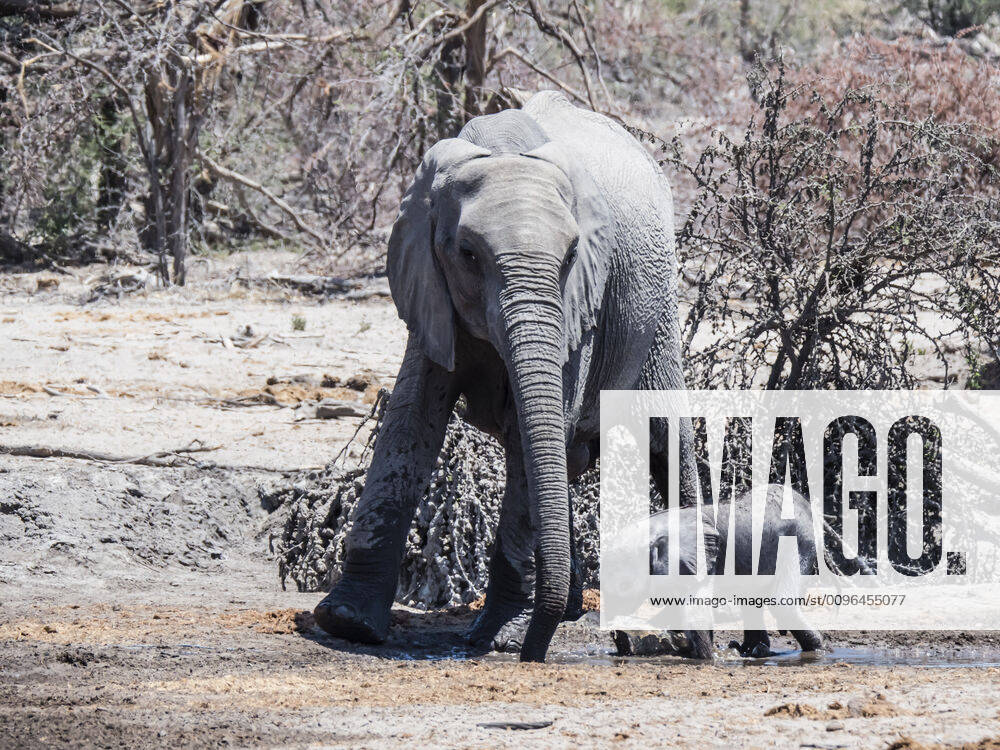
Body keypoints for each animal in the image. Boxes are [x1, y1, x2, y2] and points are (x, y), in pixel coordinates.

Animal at [312, 90, 697, 662]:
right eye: (468, 254)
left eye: (571, 256)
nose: (531, 655)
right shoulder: (429, 288)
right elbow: (411, 420)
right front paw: (347, 622)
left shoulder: (579, 311)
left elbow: (526, 437)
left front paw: (503, 636)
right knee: (569, 458)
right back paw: (570, 605)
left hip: (657, 315)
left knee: (664, 440)